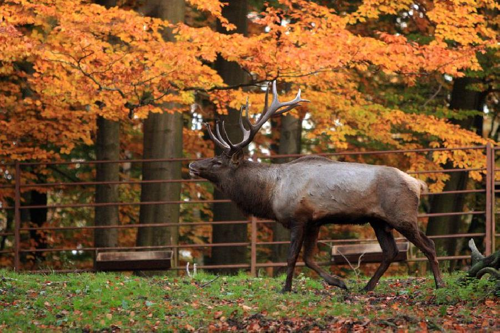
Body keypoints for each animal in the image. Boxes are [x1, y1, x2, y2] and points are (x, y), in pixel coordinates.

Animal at [189, 81, 444, 292]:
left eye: (217, 162)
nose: (192, 164)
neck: (269, 194)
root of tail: (418, 184)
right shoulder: (315, 221)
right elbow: (308, 258)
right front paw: (339, 283)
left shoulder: (299, 217)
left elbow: (293, 257)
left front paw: (286, 289)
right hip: (378, 221)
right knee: (390, 251)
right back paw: (367, 287)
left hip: (402, 215)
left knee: (429, 244)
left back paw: (439, 283)